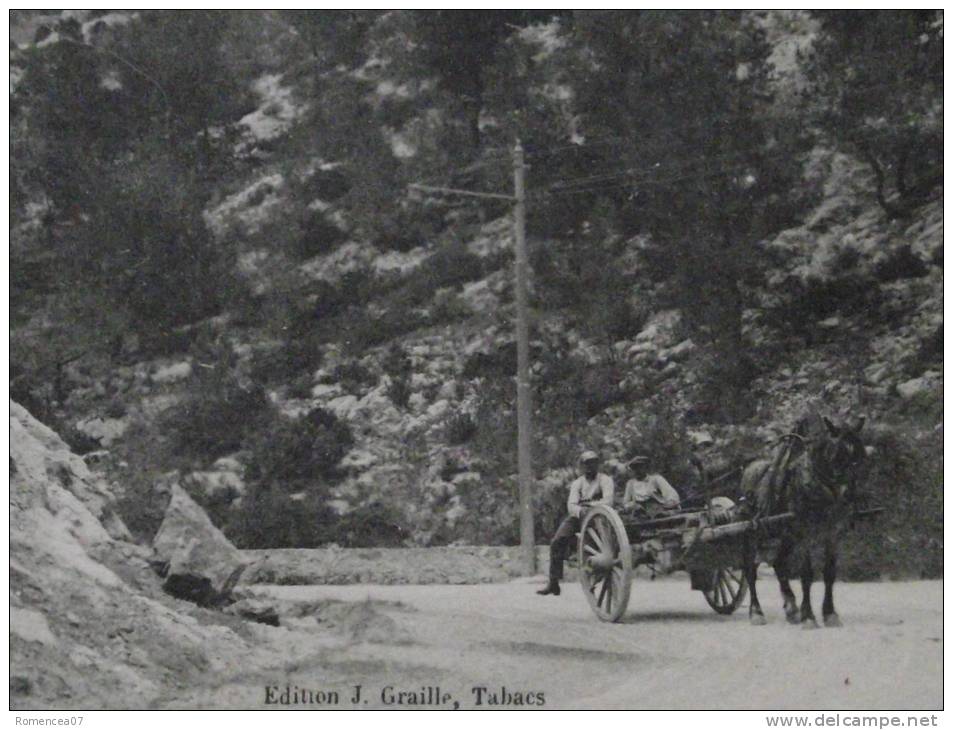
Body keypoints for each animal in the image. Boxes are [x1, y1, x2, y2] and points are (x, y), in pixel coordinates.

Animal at [740, 410, 868, 624]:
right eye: (837, 455)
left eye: (860, 455)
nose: (849, 495)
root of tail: (750, 469)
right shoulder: (804, 533)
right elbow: (806, 574)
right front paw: (808, 616)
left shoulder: (832, 533)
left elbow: (829, 572)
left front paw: (829, 613)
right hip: (754, 535)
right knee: (751, 570)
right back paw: (756, 612)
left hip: (786, 536)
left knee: (779, 563)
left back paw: (791, 607)